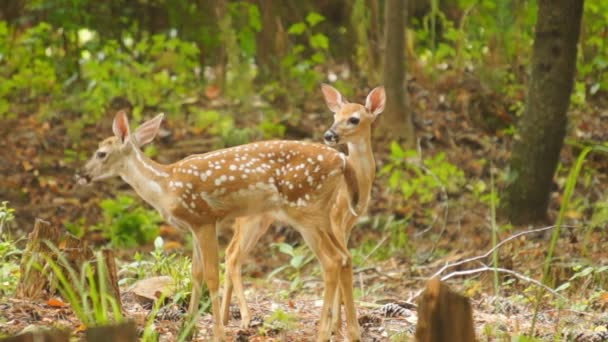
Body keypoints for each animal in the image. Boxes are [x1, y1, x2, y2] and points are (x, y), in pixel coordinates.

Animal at [81, 111, 366, 340]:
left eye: (101, 153)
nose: (81, 174)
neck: (166, 185)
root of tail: (342, 161)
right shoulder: (193, 225)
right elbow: (195, 273)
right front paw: (188, 329)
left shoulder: (205, 218)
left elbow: (211, 275)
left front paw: (217, 333)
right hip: (321, 214)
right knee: (344, 257)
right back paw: (351, 333)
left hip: (303, 209)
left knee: (331, 260)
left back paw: (323, 333)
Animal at [222, 83, 384, 336]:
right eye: (335, 116)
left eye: (354, 119)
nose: (329, 135)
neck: (360, 180)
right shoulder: (336, 218)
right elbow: (345, 264)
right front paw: (339, 328)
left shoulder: (347, 224)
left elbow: (346, 262)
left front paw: (337, 326)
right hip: (256, 218)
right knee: (233, 256)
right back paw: (246, 319)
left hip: (259, 220)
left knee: (230, 252)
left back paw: (225, 318)